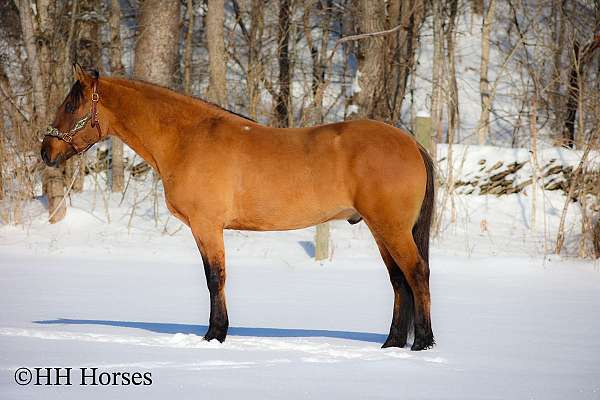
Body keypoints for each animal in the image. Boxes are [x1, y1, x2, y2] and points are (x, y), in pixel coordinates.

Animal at [41, 65, 436, 350]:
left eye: (71, 105)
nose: (46, 151)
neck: (188, 138)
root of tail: (411, 143)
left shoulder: (206, 226)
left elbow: (215, 278)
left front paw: (215, 334)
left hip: (391, 228)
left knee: (416, 273)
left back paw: (423, 343)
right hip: (380, 229)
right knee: (399, 280)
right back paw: (393, 343)